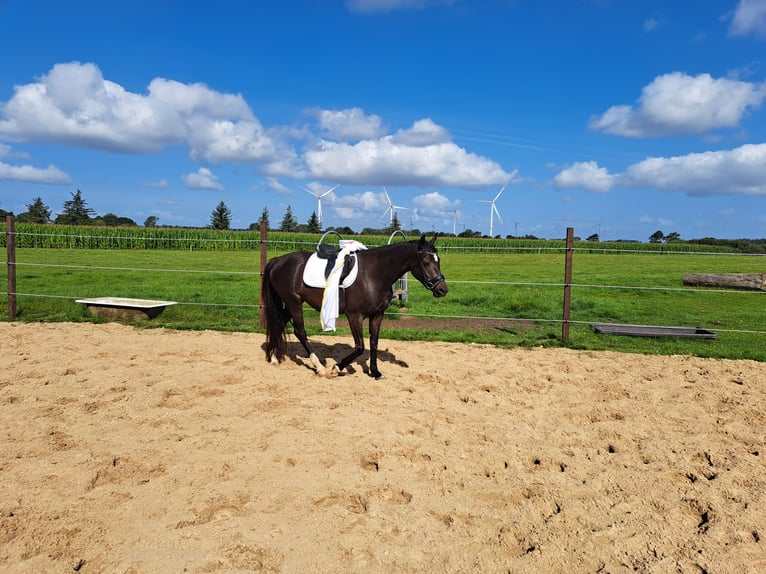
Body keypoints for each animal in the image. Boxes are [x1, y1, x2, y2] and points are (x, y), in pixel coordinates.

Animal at [260, 234, 448, 378]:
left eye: (438, 260)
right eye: (425, 262)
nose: (442, 289)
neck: (374, 274)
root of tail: (278, 261)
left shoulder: (377, 315)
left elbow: (373, 343)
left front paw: (375, 372)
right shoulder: (354, 316)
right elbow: (360, 346)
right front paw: (336, 368)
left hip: (290, 303)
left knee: (280, 324)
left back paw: (274, 357)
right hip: (294, 302)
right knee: (300, 332)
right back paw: (320, 368)